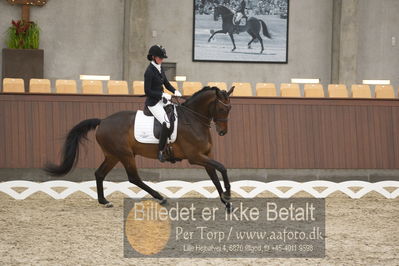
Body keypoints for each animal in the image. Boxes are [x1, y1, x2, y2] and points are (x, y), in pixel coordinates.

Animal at [44, 87, 234, 212]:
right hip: (125, 154)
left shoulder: (206, 156)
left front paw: (227, 203)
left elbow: (215, 177)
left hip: (113, 155)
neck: (192, 120)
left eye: (230, 108)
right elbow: (223, 168)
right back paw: (160, 197)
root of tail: (103, 121)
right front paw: (228, 195)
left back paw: (104, 201)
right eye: (222, 108)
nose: (223, 132)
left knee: (99, 173)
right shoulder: (195, 157)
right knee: (134, 178)